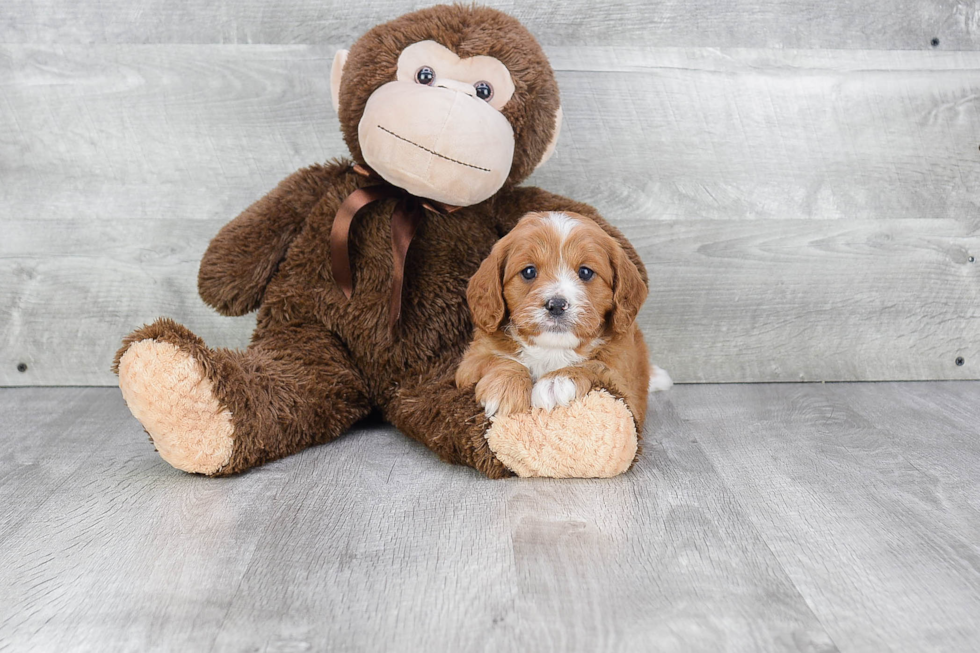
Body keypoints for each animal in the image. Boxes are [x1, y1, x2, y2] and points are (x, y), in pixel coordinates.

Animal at [456, 211, 668, 430]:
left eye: (585, 272)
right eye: (529, 272)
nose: (557, 305)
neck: (552, 349)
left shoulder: (626, 387)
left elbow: (597, 366)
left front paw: (557, 380)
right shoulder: (469, 362)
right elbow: (497, 359)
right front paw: (505, 386)